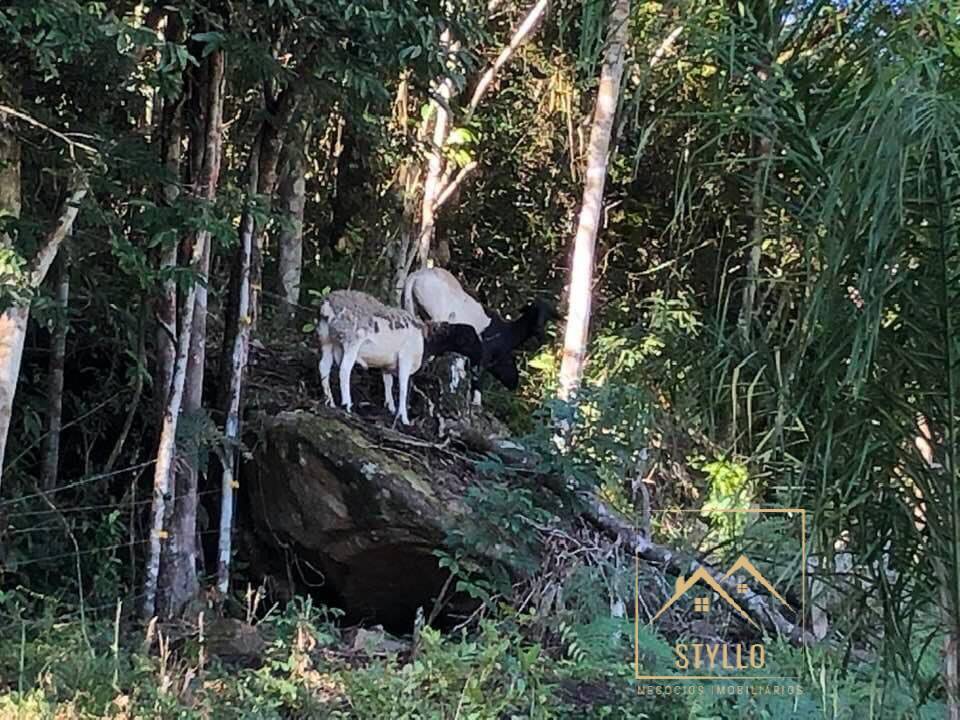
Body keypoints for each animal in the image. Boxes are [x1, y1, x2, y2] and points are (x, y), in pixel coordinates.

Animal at [316, 288, 480, 424]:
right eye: (468, 338)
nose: (479, 356)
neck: (426, 339)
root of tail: (328, 305)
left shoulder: (387, 365)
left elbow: (388, 383)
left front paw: (390, 408)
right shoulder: (406, 359)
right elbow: (402, 387)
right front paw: (403, 417)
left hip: (326, 339)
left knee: (323, 367)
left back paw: (329, 401)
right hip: (352, 340)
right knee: (344, 370)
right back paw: (347, 405)